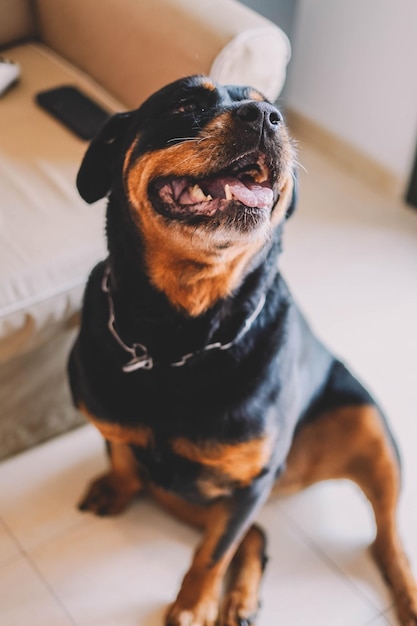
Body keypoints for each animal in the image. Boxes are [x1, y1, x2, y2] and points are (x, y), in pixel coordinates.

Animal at [69, 75, 416, 620]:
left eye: (275, 110)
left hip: (370, 429)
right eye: (185, 103)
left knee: (387, 540)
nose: (265, 118)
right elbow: (124, 456)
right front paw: (117, 485)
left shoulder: (250, 483)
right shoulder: (128, 437)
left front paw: (191, 607)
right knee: (256, 534)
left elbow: (213, 554)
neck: (180, 336)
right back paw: (241, 598)